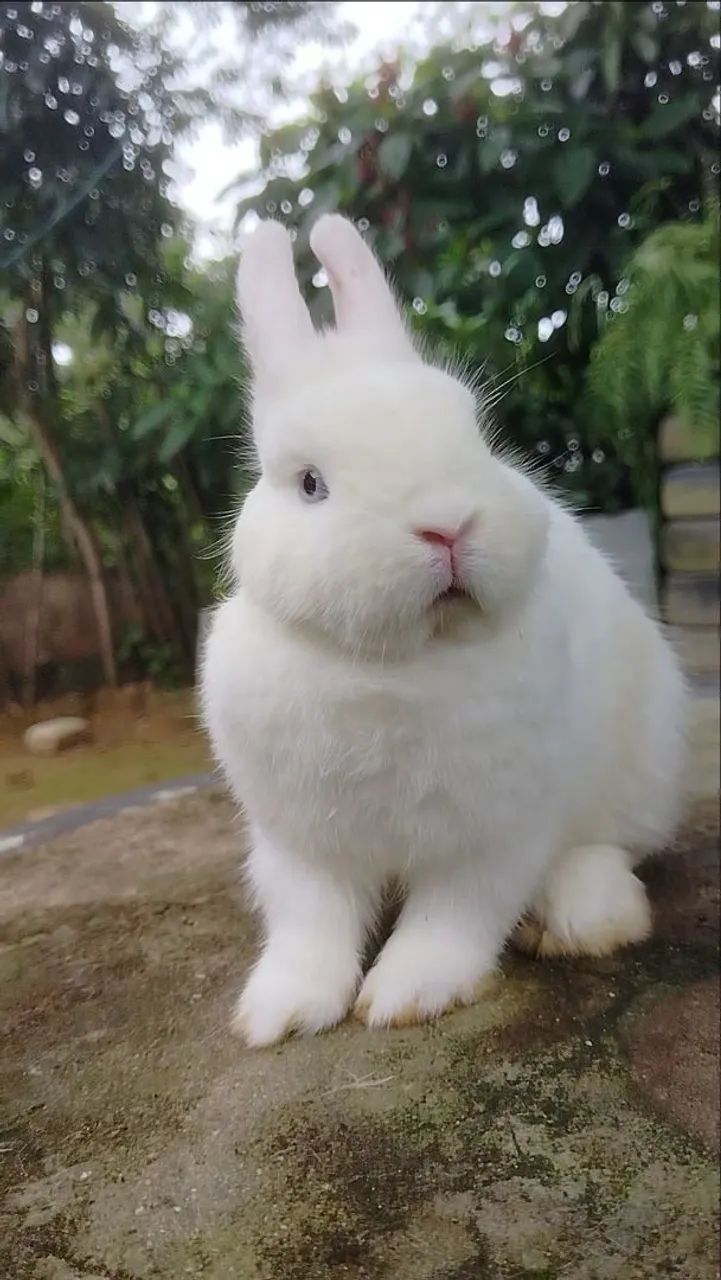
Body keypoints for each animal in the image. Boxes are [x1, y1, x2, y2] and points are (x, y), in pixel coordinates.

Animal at [200, 214, 687, 1048]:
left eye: (476, 437)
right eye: (309, 484)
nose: (447, 526)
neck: (395, 661)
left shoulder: (493, 831)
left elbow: (452, 917)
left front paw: (408, 994)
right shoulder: (300, 840)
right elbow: (310, 923)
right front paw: (280, 1013)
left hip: (641, 765)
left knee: (610, 844)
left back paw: (584, 915)